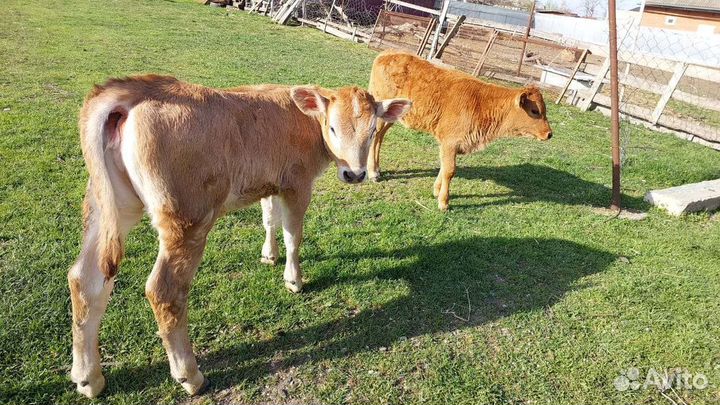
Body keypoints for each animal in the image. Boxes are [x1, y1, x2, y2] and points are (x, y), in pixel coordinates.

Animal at [68, 75, 411, 398]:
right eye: (333, 128)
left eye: (372, 130)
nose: (355, 174)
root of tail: (136, 89)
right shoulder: (297, 183)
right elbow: (293, 234)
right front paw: (294, 279)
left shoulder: (270, 184)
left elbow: (269, 219)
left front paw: (269, 255)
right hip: (187, 218)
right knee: (164, 291)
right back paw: (190, 376)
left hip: (108, 205)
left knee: (85, 280)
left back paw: (89, 379)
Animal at [367, 51, 553, 211]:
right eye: (535, 111)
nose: (549, 133)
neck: (482, 104)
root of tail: (388, 53)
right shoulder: (450, 142)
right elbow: (449, 170)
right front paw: (444, 202)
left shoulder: (448, 144)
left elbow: (444, 167)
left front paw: (437, 191)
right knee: (374, 136)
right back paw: (373, 172)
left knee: (379, 137)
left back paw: (377, 169)